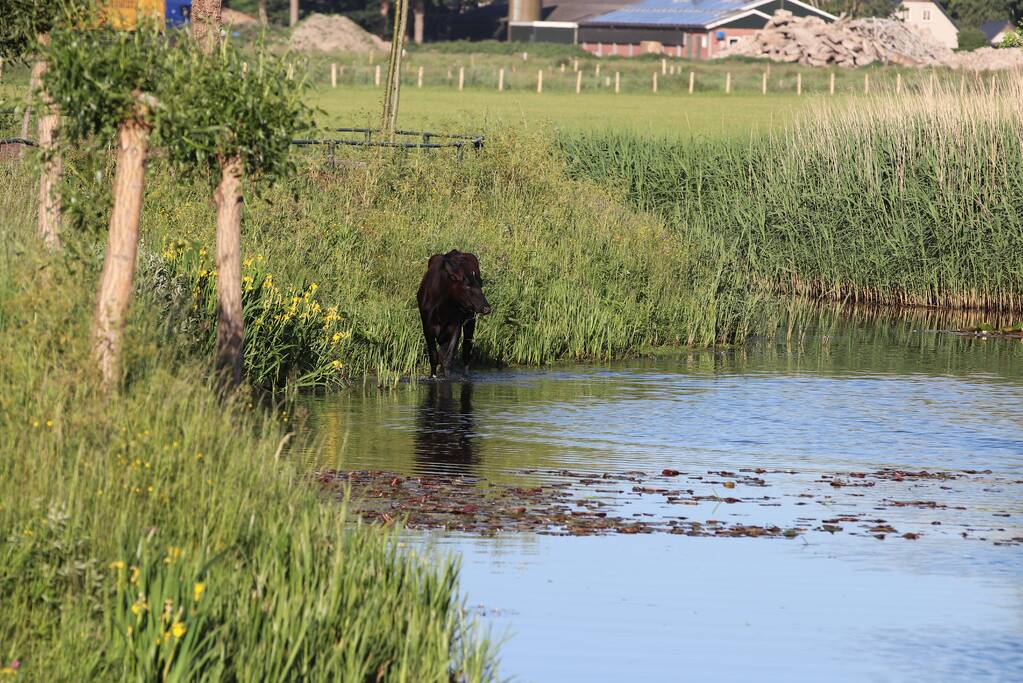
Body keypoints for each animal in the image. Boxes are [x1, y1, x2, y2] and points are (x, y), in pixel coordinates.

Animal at [417, 249, 492, 378]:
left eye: (480, 285)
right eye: (467, 286)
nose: (487, 308)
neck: (442, 308)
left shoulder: (456, 326)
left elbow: (448, 358)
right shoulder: (427, 327)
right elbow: (434, 356)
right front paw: (433, 376)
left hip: (470, 321)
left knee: (466, 350)